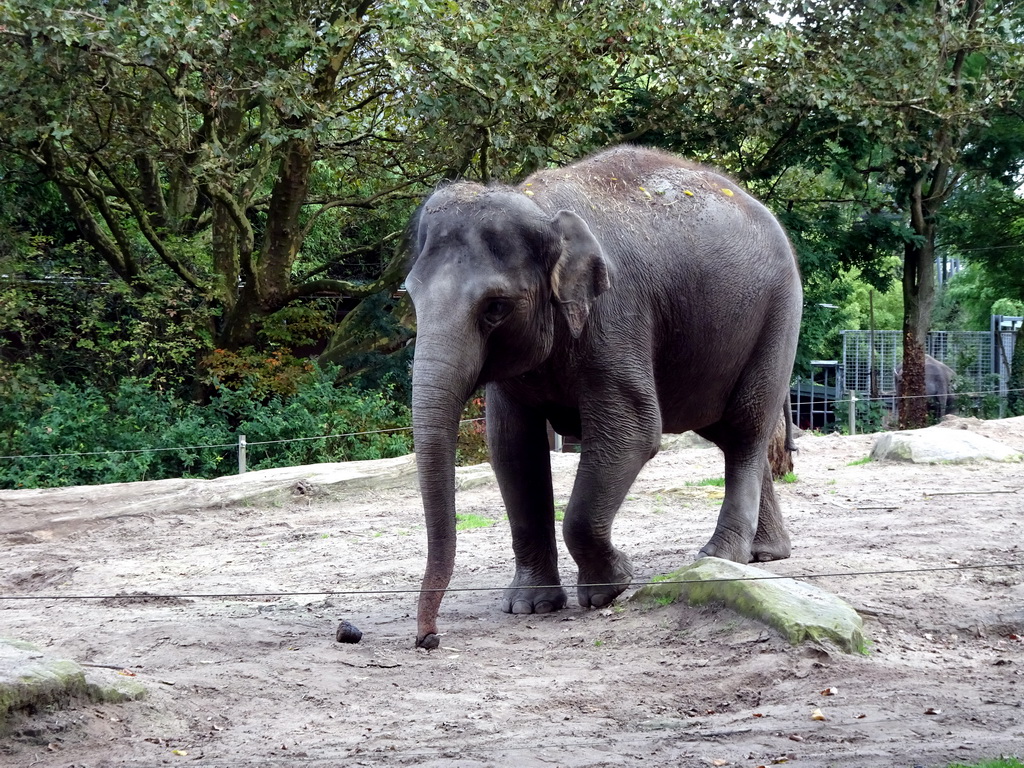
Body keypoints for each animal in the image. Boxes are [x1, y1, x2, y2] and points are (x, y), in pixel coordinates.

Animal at [403, 143, 802, 651]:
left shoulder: (616, 314)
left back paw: (719, 557)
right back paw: (764, 554)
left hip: (778, 314)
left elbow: (633, 432)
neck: (541, 209)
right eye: (410, 296)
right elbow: (512, 449)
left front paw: (608, 589)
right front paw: (531, 606)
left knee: (745, 429)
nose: (428, 639)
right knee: (733, 434)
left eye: (495, 308)